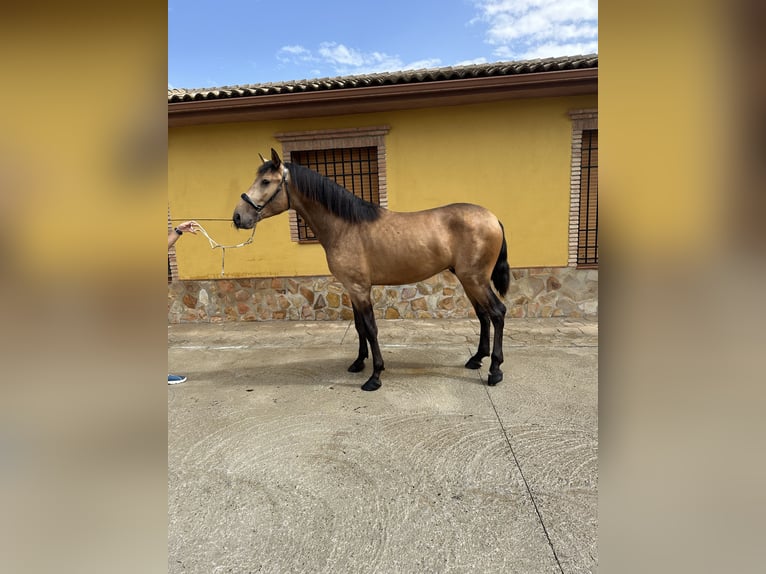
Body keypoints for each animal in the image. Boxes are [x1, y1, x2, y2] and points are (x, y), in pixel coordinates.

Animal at [234, 148, 510, 394]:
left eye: (265, 181)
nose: (237, 217)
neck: (345, 227)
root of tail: (493, 218)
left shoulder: (360, 289)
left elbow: (371, 328)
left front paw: (375, 376)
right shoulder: (352, 289)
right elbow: (359, 327)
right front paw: (358, 363)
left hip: (475, 279)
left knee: (497, 312)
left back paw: (495, 370)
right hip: (469, 279)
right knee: (483, 315)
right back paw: (477, 358)